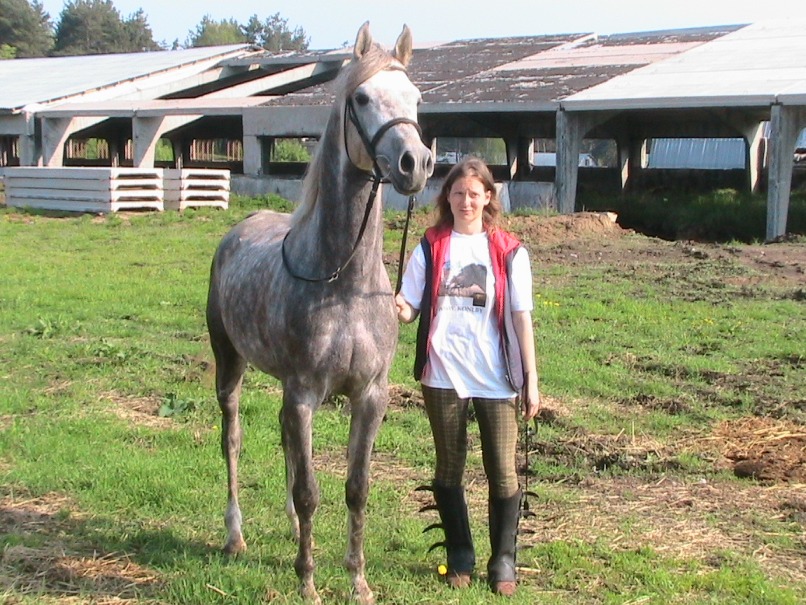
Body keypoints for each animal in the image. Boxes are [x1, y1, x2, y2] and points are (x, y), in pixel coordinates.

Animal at [206, 22, 433, 605]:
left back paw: (287, 527)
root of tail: (238, 230)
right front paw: (307, 581)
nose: (415, 163)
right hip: (230, 368)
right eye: (361, 98)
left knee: (283, 438)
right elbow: (311, 490)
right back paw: (235, 535)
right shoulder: (305, 392)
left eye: (417, 99)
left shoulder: (369, 397)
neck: (345, 285)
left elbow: (356, 488)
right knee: (232, 440)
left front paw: (358, 579)